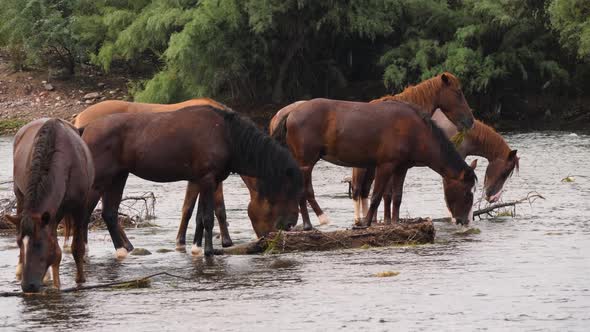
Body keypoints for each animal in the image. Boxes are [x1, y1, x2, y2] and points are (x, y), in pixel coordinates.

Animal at [7, 118, 95, 292]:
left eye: (39, 243)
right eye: (19, 243)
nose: (28, 286)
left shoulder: (79, 207)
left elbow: (76, 247)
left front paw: (79, 280)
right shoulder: (50, 216)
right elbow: (56, 251)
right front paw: (55, 283)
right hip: (20, 197)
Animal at [81, 105, 302, 255]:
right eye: (290, 188)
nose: (291, 223)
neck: (226, 135)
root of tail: (85, 129)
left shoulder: (201, 180)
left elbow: (199, 217)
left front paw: (197, 248)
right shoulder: (208, 180)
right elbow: (208, 218)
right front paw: (209, 251)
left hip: (118, 177)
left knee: (109, 214)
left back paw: (123, 250)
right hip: (99, 181)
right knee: (84, 214)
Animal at [270, 72, 478, 227]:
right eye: (458, 92)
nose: (465, 221)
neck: (414, 129)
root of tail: (291, 112)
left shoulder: (401, 168)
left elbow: (396, 196)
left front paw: (393, 222)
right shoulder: (385, 166)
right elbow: (378, 196)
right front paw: (369, 222)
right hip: (307, 162)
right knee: (306, 191)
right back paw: (312, 223)